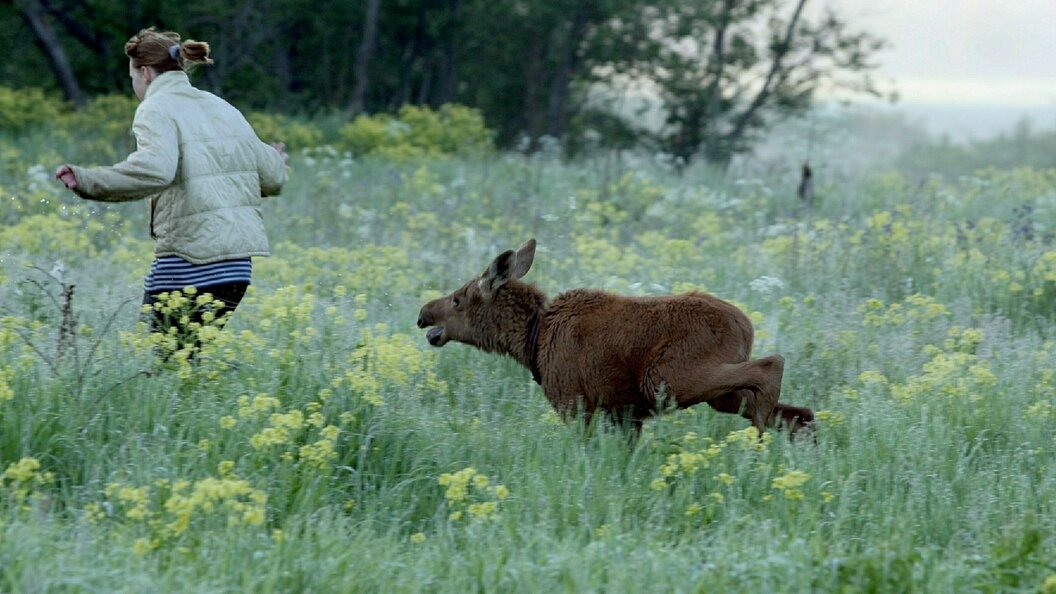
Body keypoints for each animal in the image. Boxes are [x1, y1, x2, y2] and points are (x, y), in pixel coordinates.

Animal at [416, 236, 811, 435]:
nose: (423, 315)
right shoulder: (624, 413)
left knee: (772, 366)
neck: (532, 339)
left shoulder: (575, 402)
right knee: (800, 413)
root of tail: (746, 326)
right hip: (714, 392)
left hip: (668, 378)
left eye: (458, 299)